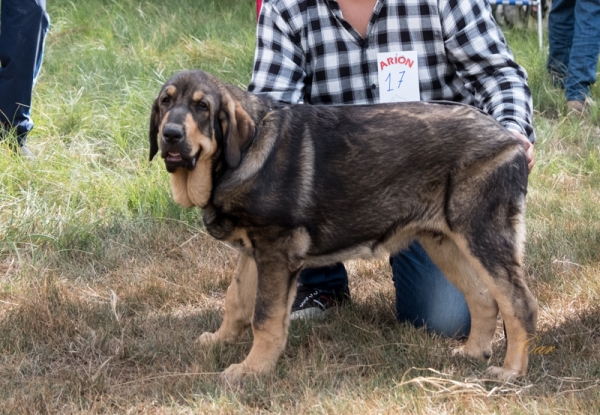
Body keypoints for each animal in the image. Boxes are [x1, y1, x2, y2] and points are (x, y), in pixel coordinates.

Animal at [149, 70, 540, 386]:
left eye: (202, 107)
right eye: (166, 102)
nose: (170, 135)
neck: (241, 153)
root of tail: (509, 138)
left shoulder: (275, 251)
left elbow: (265, 317)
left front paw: (252, 370)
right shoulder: (254, 250)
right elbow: (236, 300)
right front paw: (220, 341)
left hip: (482, 235)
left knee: (518, 304)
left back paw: (511, 372)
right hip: (444, 241)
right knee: (483, 298)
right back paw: (473, 352)